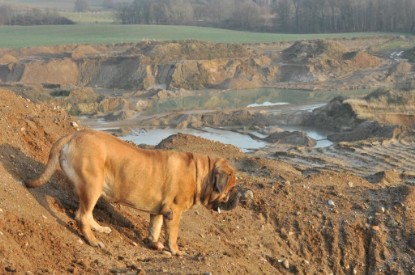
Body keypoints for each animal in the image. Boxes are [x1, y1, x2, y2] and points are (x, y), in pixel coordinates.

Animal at [26, 130, 239, 256]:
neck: (201, 173)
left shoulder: (159, 211)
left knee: (86, 213)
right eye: (230, 187)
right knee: (82, 215)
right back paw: (93, 241)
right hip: (92, 185)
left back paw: (99, 229)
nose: (238, 196)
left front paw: (153, 243)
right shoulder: (174, 212)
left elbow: (155, 228)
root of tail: (74, 135)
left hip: (93, 189)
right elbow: (172, 234)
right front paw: (176, 251)